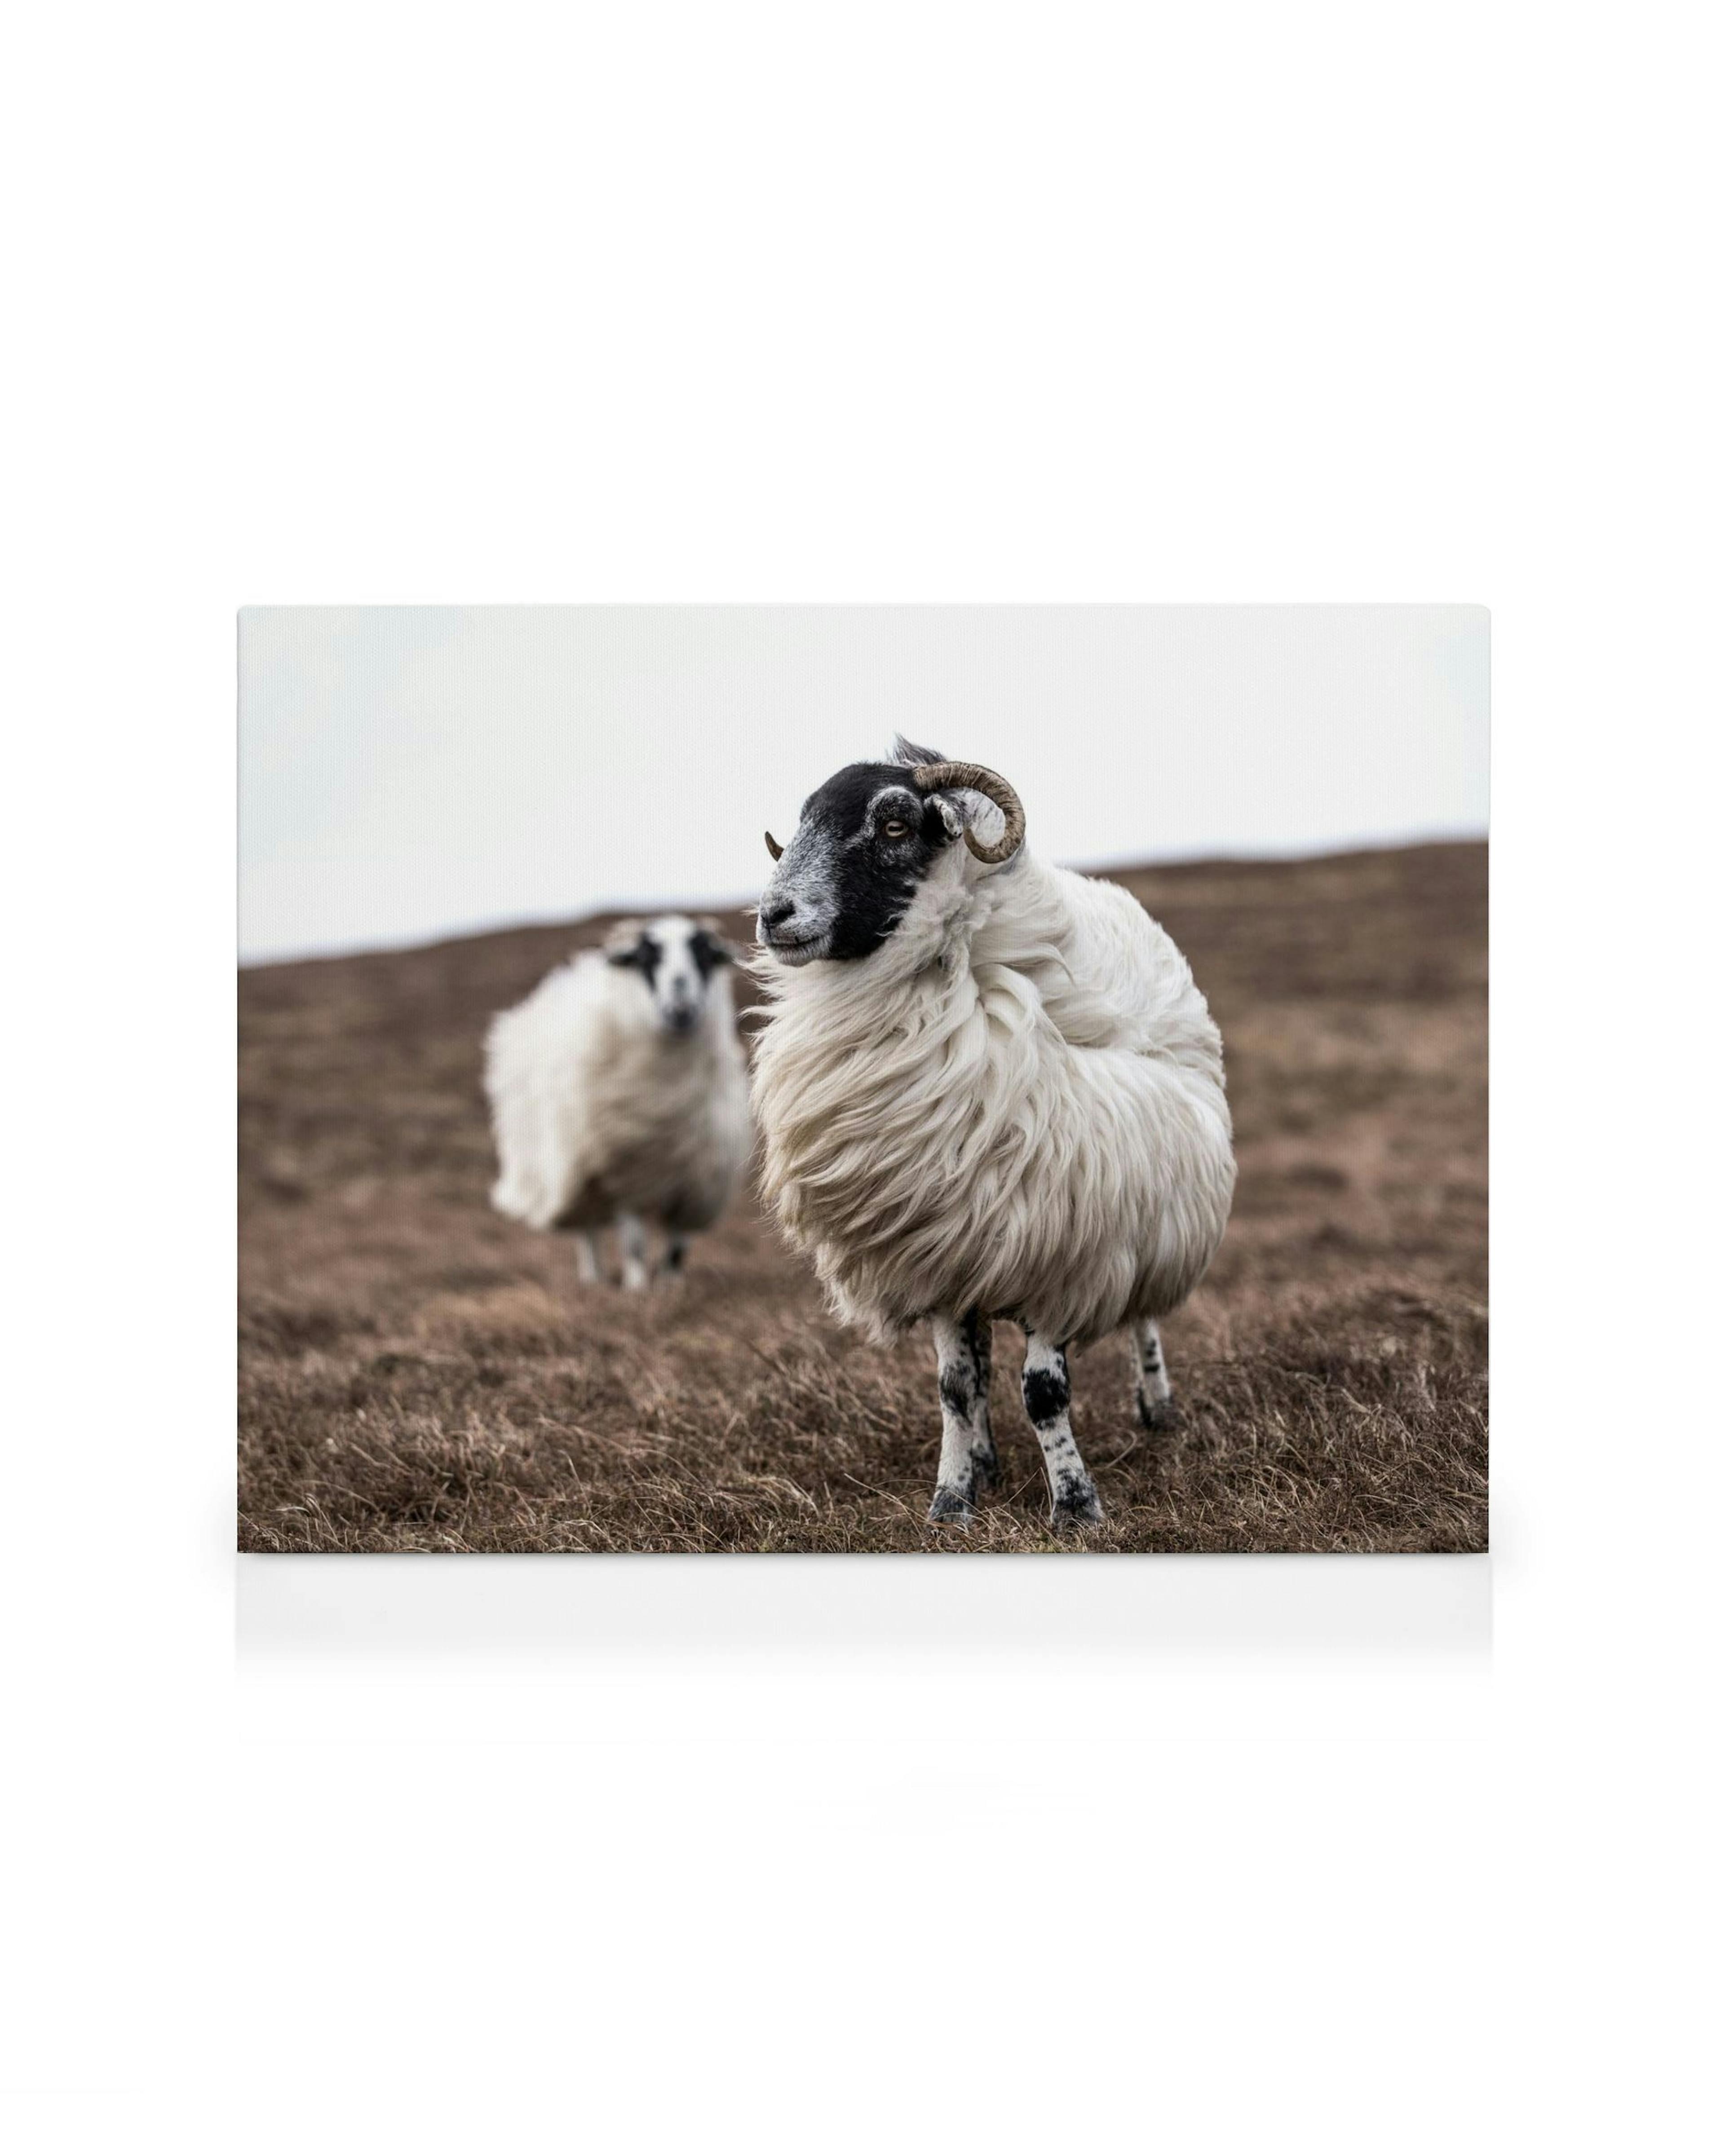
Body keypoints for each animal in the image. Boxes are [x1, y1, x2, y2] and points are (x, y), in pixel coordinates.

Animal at [486, 915, 751, 1288]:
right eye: (646, 958)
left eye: (704, 956)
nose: (681, 1009)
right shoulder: (624, 1178)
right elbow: (635, 1243)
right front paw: (638, 1289)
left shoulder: (696, 1183)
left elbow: (677, 1247)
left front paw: (672, 1288)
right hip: (577, 1175)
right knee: (588, 1233)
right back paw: (594, 1280)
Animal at [750, 740, 1235, 1529]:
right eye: (802, 822)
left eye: (893, 824)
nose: (774, 914)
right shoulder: (942, 1247)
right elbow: (955, 1386)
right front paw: (952, 1500)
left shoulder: (1065, 1248)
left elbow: (1044, 1392)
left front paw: (1076, 1506)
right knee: (977, 1364)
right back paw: (985, 1459)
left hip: (1147, 1210)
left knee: (1143, 1317)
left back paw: (1156, 1407)